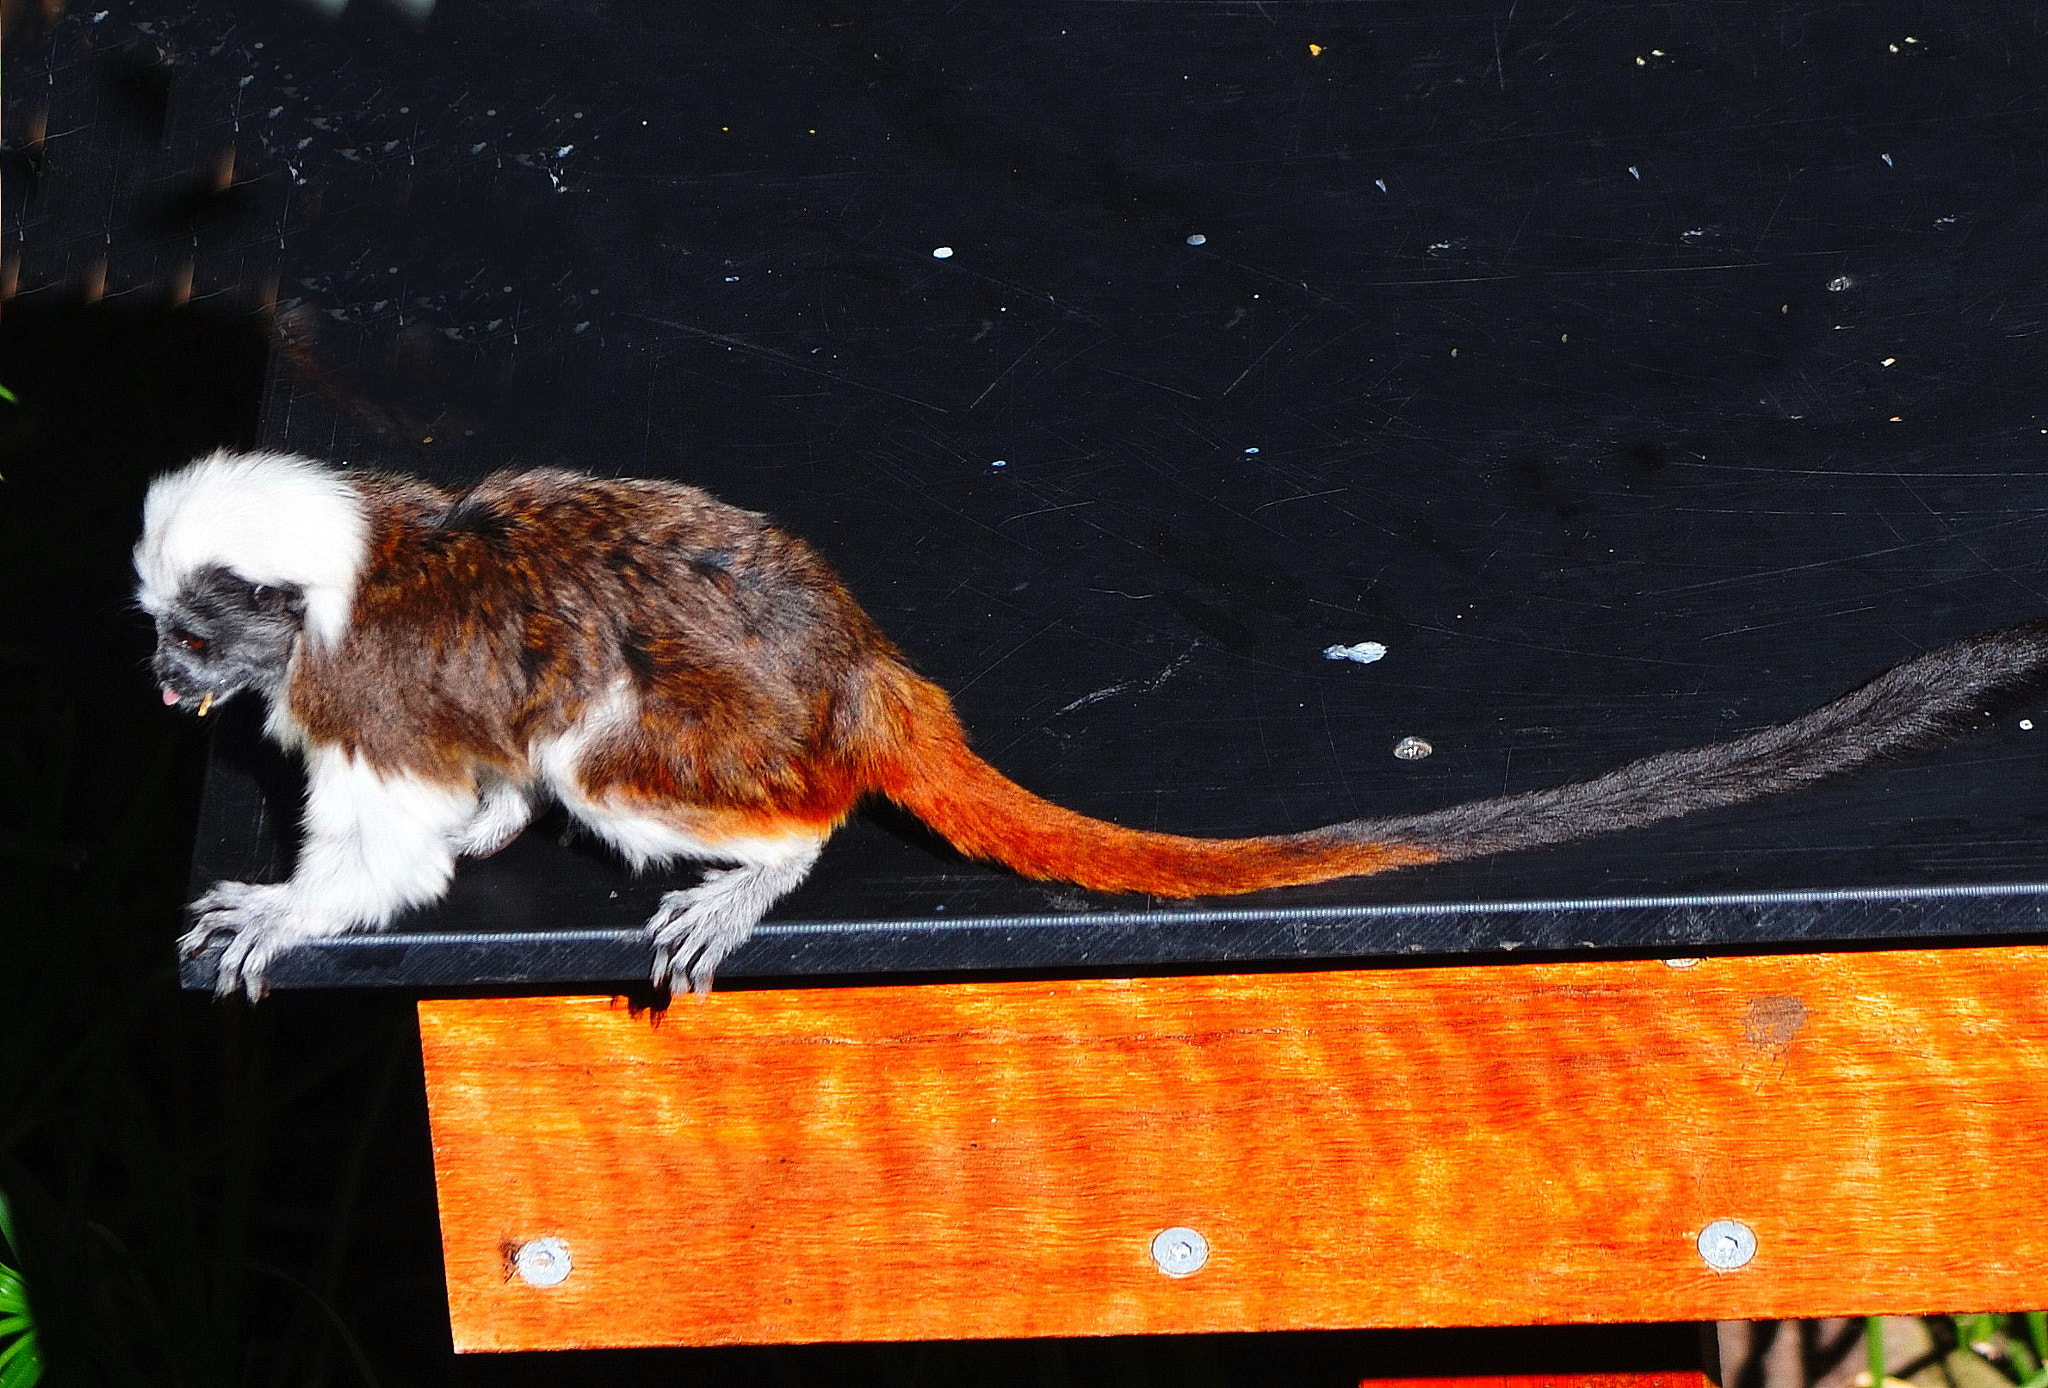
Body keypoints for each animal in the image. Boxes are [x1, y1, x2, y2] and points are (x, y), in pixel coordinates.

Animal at [136, 449, 2048, 1000]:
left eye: (190, 631)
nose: (162, 686)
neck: (344, 576)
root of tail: (869, 670)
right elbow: (467, 812)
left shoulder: (365, 691)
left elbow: (402, 843)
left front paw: (288, 913)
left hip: (720, 739)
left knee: (626, 759)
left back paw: (762, 867)